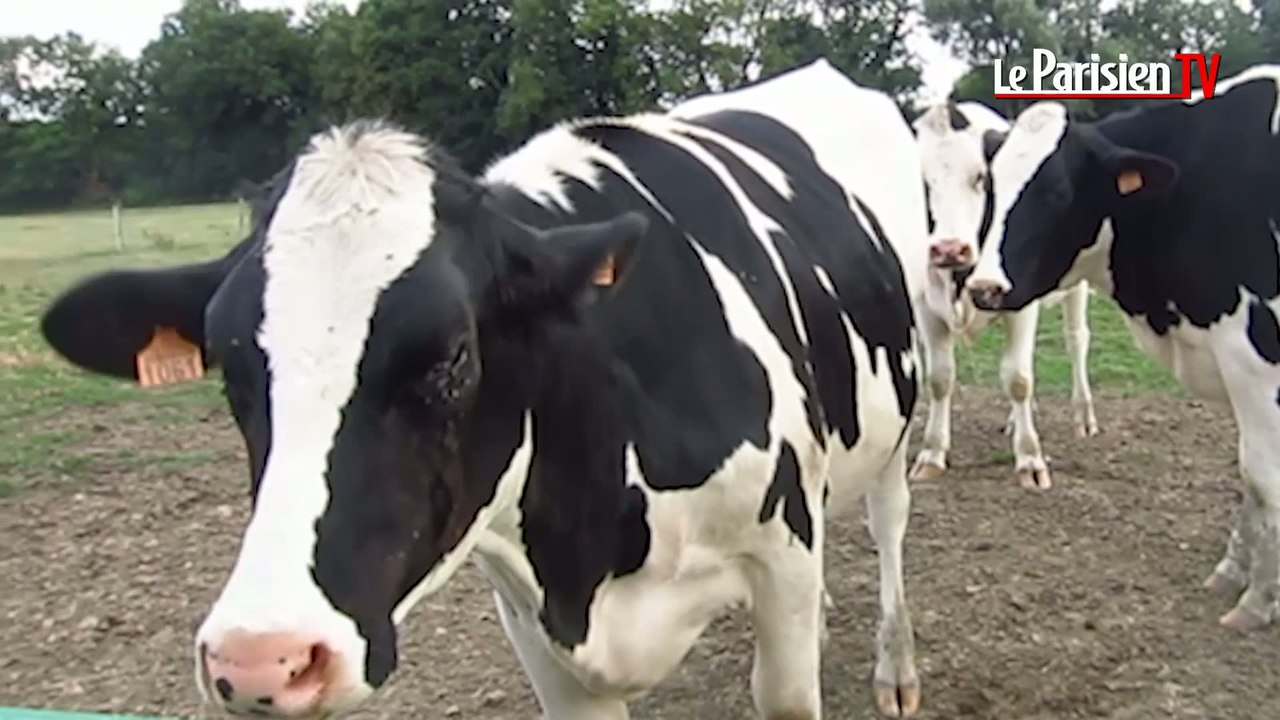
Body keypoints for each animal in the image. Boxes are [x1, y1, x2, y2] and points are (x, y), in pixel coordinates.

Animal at [39, 59, 926, 718]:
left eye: (454, 356)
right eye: (229, 364)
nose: (262, 659)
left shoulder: (779, 556)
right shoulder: (534, 622)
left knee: (889, 526)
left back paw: (897, 669)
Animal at [911, 100, 1099, 490]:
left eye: (981, 178)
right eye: (922, 181)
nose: (949, 249)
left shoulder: (1021, 307)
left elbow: (1018, 379)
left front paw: (1029, 459)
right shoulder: (926, 308)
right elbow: (939, 379)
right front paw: (932, 453)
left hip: (1076, 286)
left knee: (1076, 340)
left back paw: (1083, 416)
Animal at [963, 65, 1280, 631]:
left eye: (1057, 193)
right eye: (990, 188)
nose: (984, 287)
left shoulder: (1253, 356)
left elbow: (1263, 477)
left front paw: (1258, 600)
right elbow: (1250, 472)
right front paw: (1232, 573)